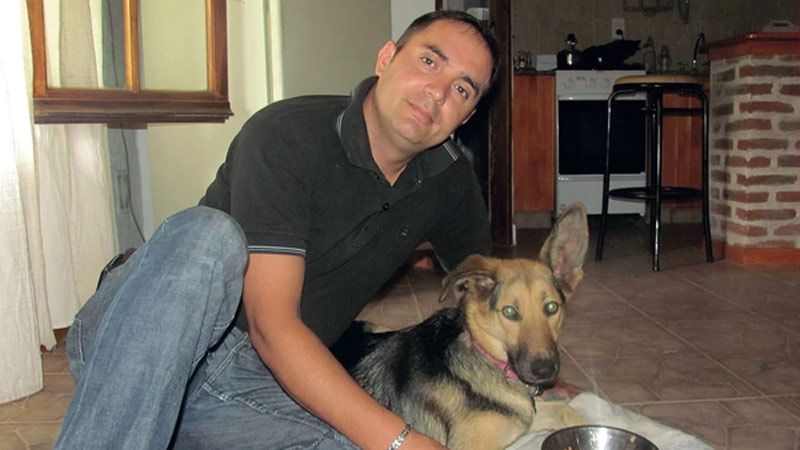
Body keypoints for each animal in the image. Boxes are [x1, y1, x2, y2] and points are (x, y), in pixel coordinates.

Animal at [331, 203, 589, 450]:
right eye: (510, 312)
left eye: (551, 308)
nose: (545, 371)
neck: (484, 356)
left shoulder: (523, 415)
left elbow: (568, 411)